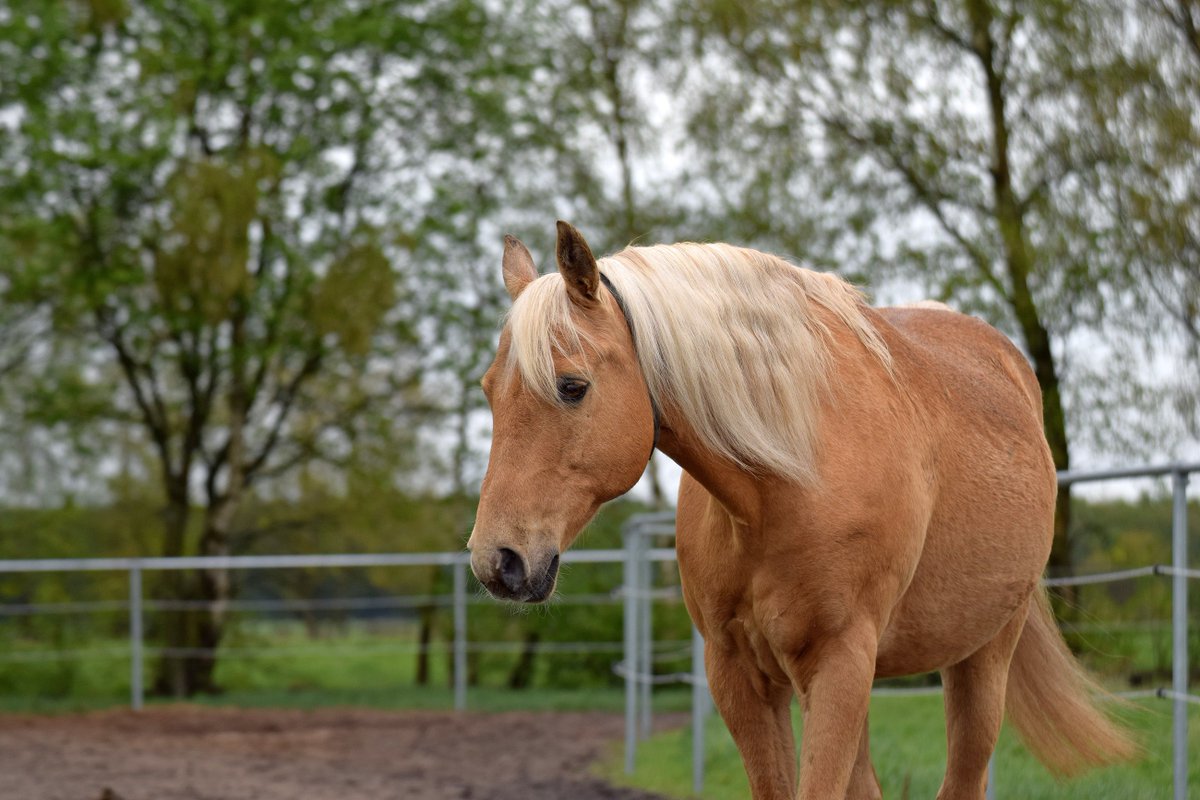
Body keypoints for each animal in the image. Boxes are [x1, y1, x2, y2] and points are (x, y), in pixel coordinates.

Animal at [470, 221, 1132, 796]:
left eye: (572, 386)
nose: (496, 561)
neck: (784, 487)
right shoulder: (740, 675)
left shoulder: (837, 665)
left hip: (982, 657)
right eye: (489, 391)